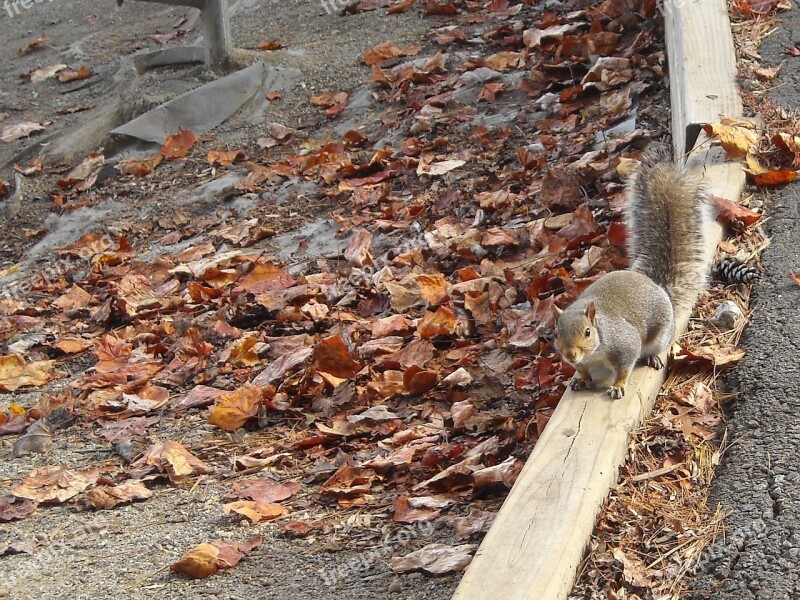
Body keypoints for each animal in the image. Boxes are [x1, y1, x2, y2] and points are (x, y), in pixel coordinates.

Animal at [552, 150, 708, 396]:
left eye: (587, 332)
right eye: (556, 334)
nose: (570, 355)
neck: (593, 353)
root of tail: (656, 285)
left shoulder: (624, 343)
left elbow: (626, 365)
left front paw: (618, 385)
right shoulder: (582, 362)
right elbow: (583, 370)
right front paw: (580, 379)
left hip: (661, 333)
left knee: (657, 346)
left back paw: (653, 357)